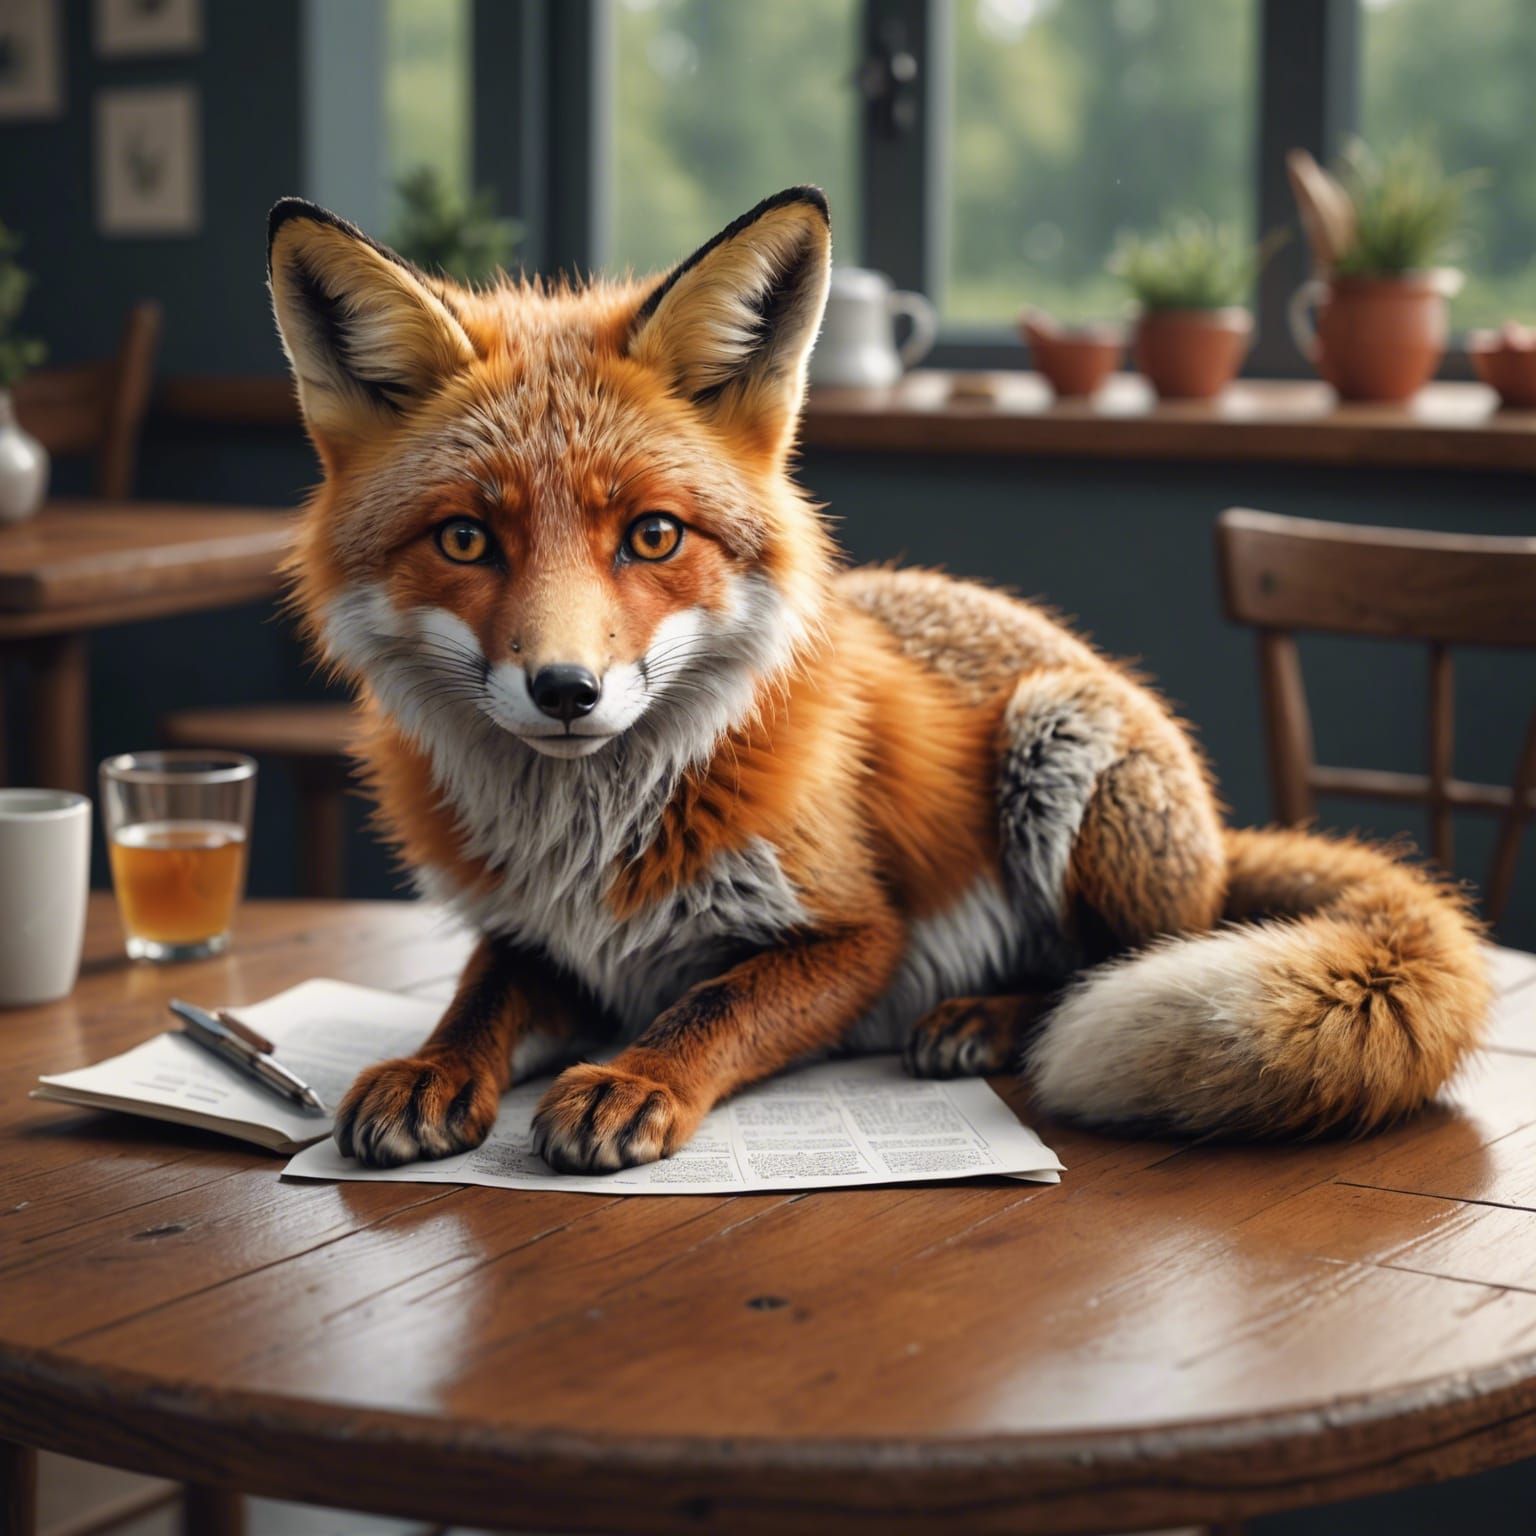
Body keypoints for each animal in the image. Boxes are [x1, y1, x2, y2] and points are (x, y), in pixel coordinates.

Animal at [266, 185, 1491, 1174]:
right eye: (467, 540)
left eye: (653, 536)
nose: (567, 690)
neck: (588, 844)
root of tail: (1222, 843)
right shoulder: (542, 938)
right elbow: (479, 997)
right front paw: (432, 1068)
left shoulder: (856, 935)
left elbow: (716, 1004)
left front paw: (636, 1079)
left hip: (1058, 740)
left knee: (1116, 962)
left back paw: (990, 1018)